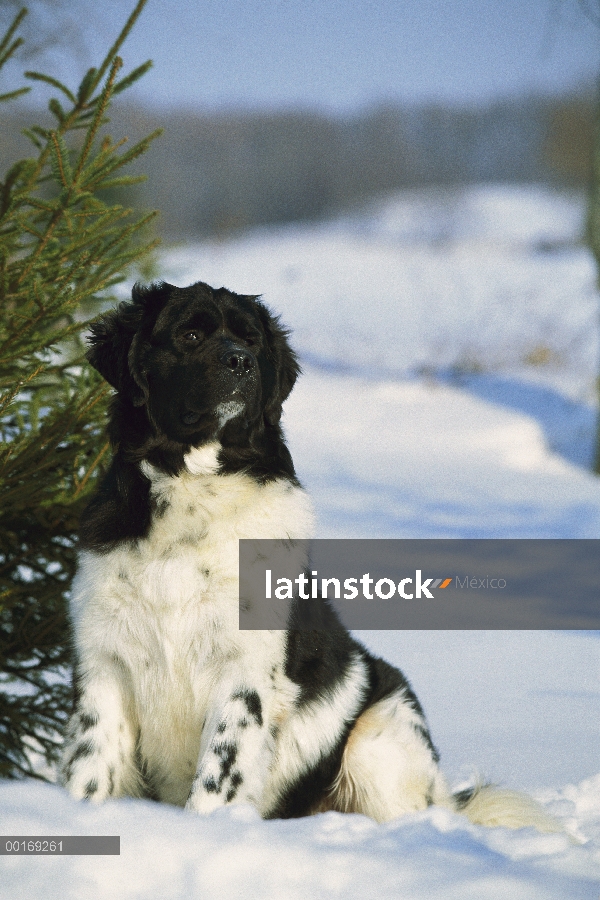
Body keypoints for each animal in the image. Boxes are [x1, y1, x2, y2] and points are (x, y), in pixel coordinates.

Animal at [59, 284, 552, 828]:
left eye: (251, 341)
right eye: (190, 335)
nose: (240, 362)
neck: (195, 490)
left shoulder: (245, 677)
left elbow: (217, 779)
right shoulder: (104, 661)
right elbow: (90, 771)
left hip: (379, 733)